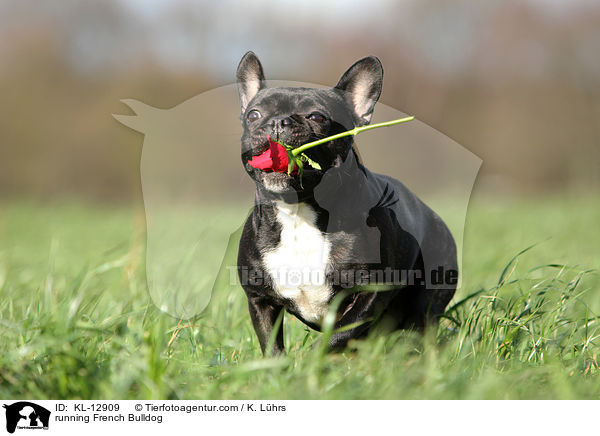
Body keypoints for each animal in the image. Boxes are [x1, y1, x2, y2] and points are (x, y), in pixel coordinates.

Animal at [237, 51, 458, 354]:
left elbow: (336, 335)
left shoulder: (369, 293)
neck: (298, 214)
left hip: (426, 300)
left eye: (316, 116)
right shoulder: (260, 299)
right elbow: (272, 346)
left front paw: (312, 361)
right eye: (254, 115)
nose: (279, 122)